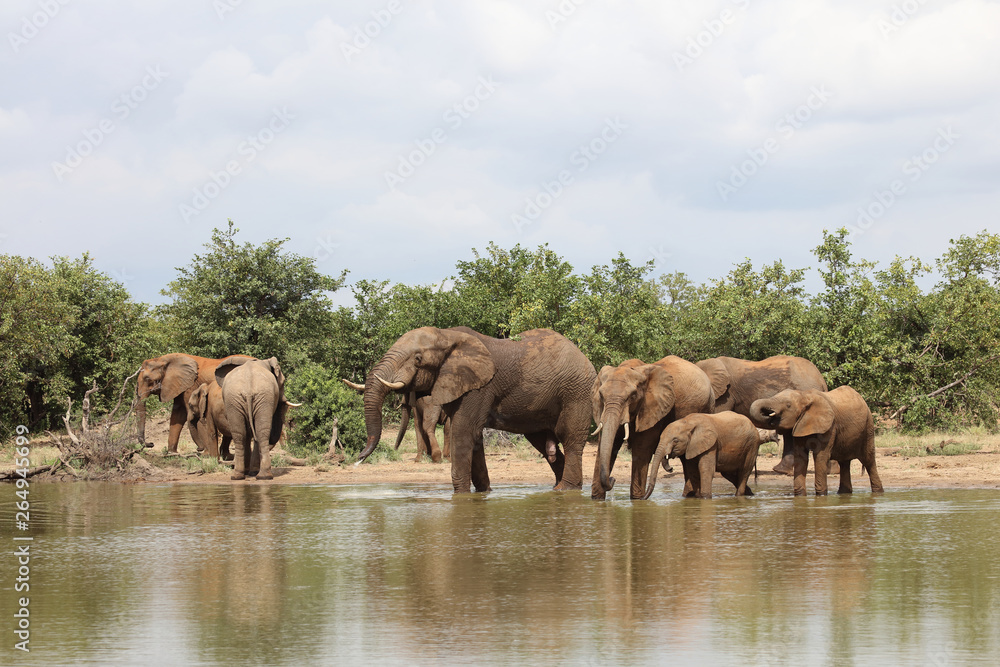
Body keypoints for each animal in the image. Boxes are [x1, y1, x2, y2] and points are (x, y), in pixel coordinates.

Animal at [356, 326, 597, 493]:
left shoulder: (479, 388)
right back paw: (556, 488)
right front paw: (483, 493)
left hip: (577, 391)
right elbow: (474, 437)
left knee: (570, 439)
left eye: (417, 359)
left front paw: (461, 496)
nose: (359, 458)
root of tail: (584, 356)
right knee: (543, 444)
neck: (447, 335)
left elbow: (463, 432)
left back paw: (567, 489)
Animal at [591, 356, 714, 500]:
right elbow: (606, 446)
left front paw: (637, 500)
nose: (613, 479)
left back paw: (691, 496)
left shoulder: (655, 409)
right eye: (601, 395)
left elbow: (641, 448)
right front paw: (597, 500)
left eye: (632, 396)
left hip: (707, 407)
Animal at [749, 386, 884, 496]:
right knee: (844, 463)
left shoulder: (829, 427)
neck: (804, 395)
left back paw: (878, 492)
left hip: (868, 427)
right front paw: (800, 496)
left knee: (868, 460)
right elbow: (801, 457)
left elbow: (820, 456)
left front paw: (821, 496)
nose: (768, 415)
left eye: (788, 405)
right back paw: (844, 493)